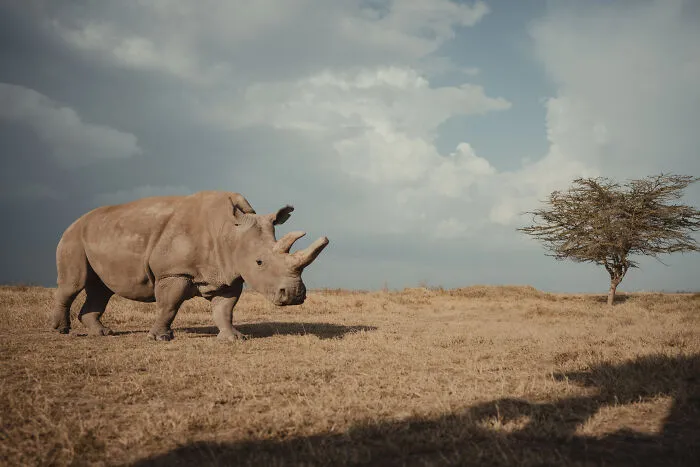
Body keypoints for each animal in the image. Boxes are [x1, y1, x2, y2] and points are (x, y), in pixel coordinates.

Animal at [51, 191, 329, 341]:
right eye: (259, 262)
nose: (294, 296)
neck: (230, 233)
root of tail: (76, 221)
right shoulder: (173, 272)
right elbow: (169, 306)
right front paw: (160, 338)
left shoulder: (228, 274)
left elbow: (225, 309)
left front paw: (233, 338)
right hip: (73, 237)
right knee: (73, 284)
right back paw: (61, 330)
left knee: (101, 288)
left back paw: (102, 333)